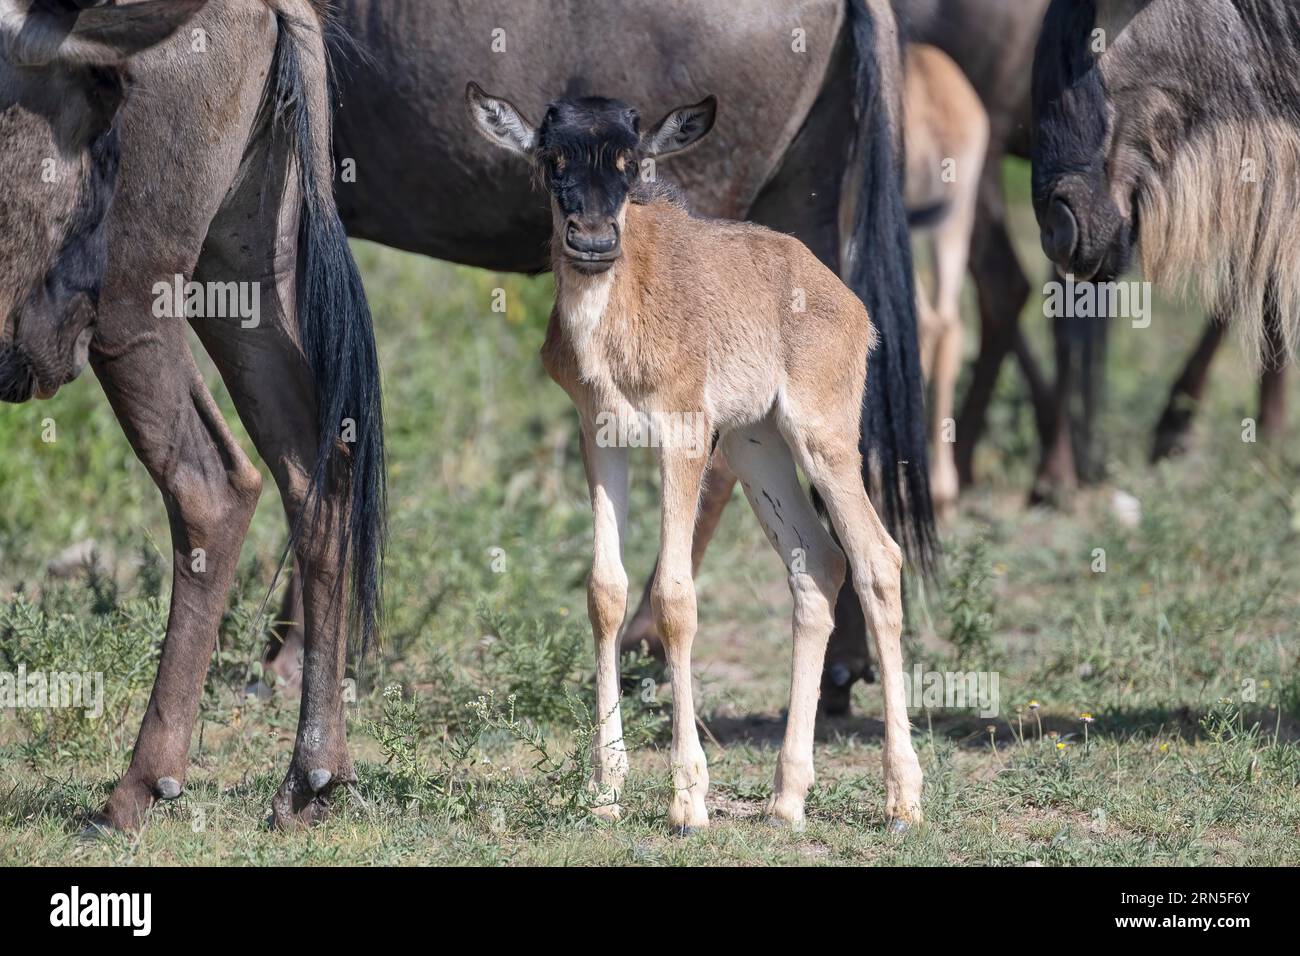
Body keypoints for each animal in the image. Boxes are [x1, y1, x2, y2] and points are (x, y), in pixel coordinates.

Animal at [467, 82, 925, 832]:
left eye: (631, 162)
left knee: (877, 560)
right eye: (551, 157)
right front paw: (605, 790)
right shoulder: (601, 438)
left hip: (821, 440)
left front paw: (688, 798)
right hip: (756, 447)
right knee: (818, 566)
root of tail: (845, 300)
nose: (593, 241)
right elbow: (606, 591)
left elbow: (674, 596)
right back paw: (787, 798)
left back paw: (903, 796)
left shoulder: (683, 436)